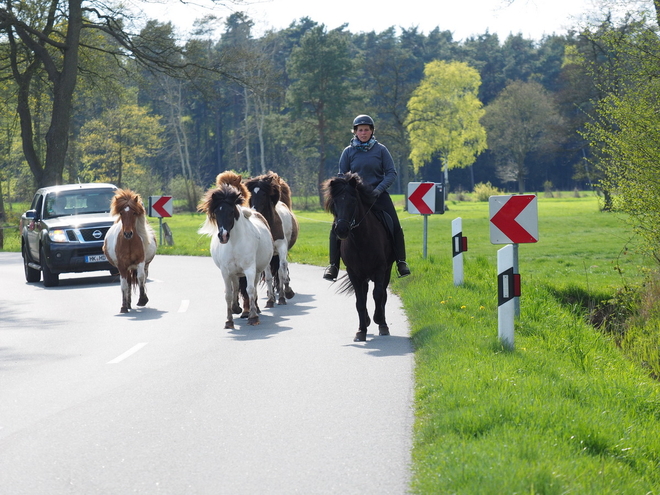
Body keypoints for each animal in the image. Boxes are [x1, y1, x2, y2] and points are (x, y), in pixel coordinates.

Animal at [197, 183, 272, 330]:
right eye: (216, 212)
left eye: (231, 212)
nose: (223, 236)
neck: (234, 243)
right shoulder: (226, 271)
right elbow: (228, 293)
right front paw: (229, 321)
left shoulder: (250, 269)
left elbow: (250, 290)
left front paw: (253, 317)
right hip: (234, 273)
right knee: (236, 287)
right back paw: (236, 308)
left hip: (256, 271)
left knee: (253, 289)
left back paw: (253, 310)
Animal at [245, 172, 300, 308]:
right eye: (251, 194)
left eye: (264, 194)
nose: (254, 211)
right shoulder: (267, 254)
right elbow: (269, 276)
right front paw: (270, 299)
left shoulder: (281, 247)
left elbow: (282, 268)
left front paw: (286, 293)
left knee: (281, 270)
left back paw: (282, 294)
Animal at [322, 171, 394, 340]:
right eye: (335, 202)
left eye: (353, 201)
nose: (341, 230)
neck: (362, 240)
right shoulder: (353, 272)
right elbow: (360, 301)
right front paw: (361, 330)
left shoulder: (380, 269)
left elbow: (378, 295)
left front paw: (380, 322)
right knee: (365, 293)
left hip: (386, 270)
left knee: (382, 295)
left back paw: (381, 322)